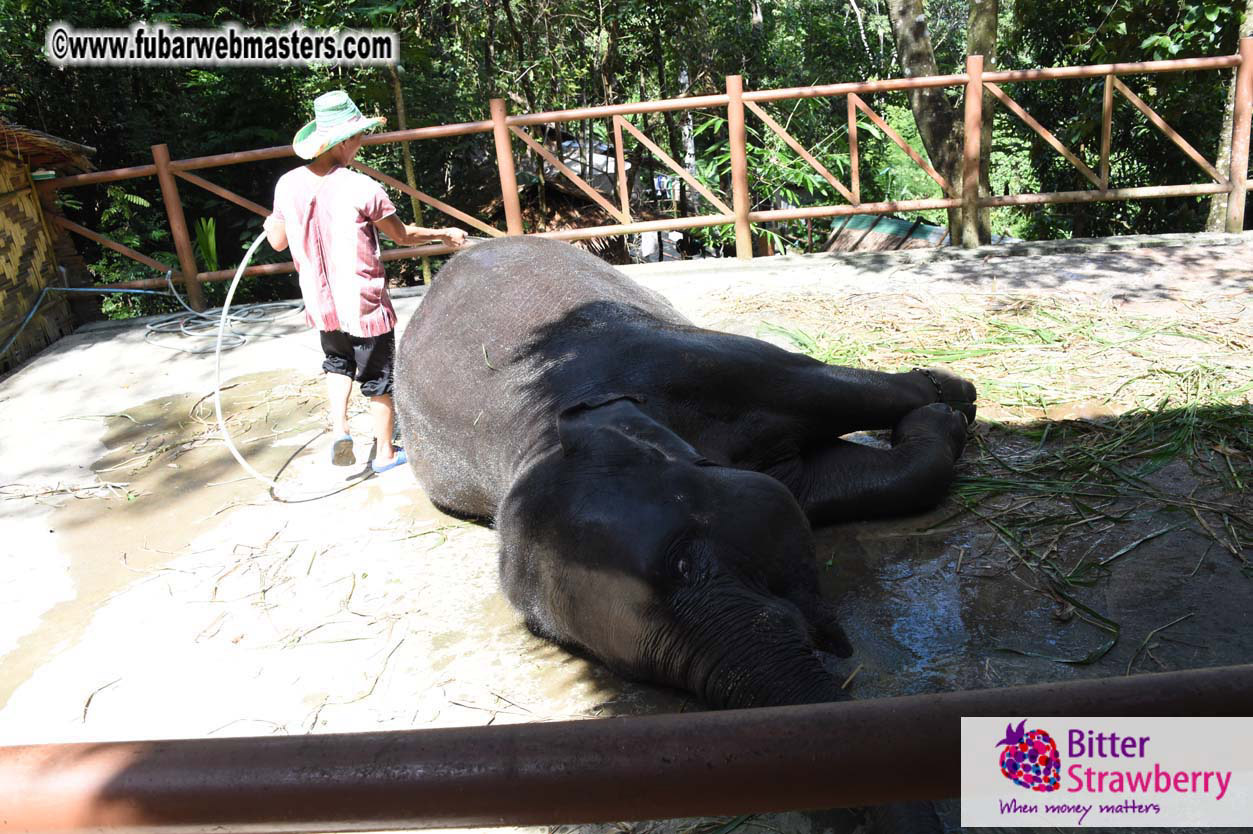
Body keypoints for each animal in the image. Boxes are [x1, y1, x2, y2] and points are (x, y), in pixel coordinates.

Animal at [395, 236, 975, 711]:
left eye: (682, 563)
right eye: (619, 666)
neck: (542, 429)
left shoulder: (692, 362)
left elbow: (821, 384)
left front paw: (950, 400)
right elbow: (822, 482)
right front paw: (938, 418)